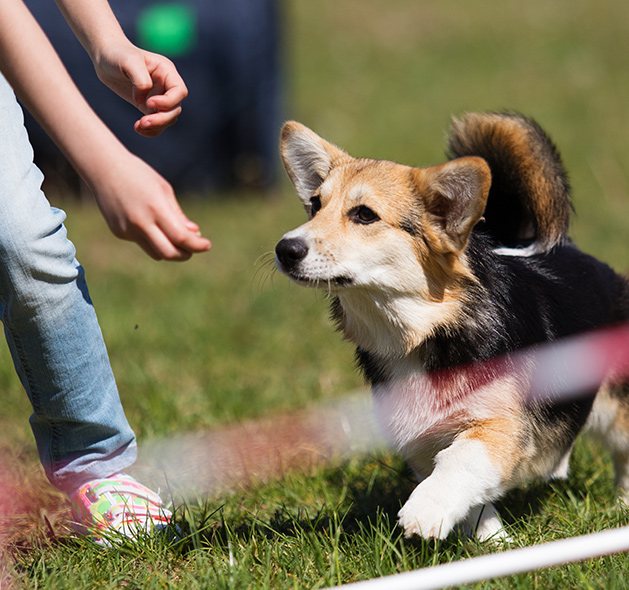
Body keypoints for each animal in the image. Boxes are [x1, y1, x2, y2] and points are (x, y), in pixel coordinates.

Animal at [274, 113, 628, 544]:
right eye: (314, 205)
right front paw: (494, 541)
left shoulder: (500, 425)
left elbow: (461, 459)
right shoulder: (419, 438)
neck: (421, 332)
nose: (285, 250)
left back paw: (622, 506)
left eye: (364, 215)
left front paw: (425, 511)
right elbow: (473, 500)